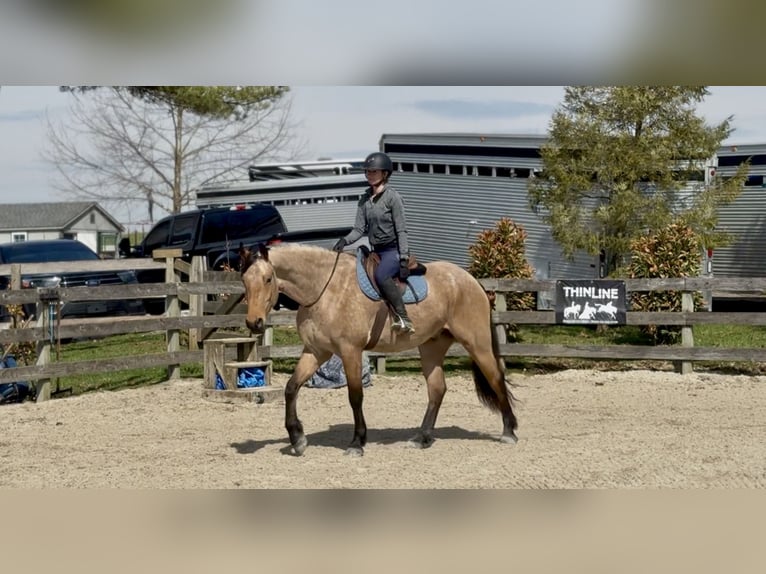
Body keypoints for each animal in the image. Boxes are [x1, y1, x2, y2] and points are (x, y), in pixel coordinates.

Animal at [239, 242, 518, 457]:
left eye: (267, 279)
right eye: (244, 280)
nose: (254, 323)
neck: (324, 289)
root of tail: (470, 280)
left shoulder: (350, 351)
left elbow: (355, 397)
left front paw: (357, 442)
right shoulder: (316, 352)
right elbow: (291, 388)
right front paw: (297, 439)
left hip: (477, 344)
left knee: (496, 378)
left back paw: (509, 431)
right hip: (432, 347)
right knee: (437, 389)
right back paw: (423, 437)